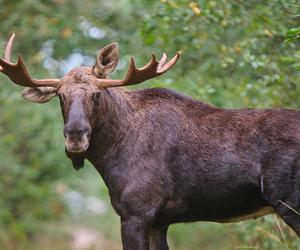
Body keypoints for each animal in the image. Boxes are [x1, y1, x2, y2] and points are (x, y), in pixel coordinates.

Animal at [0, 33, 300, 250]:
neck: (111, 152)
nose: (75, 135)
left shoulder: (136, 213)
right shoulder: (159, 221)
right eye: (60, 96)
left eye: (96, 94)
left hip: (290, 201)